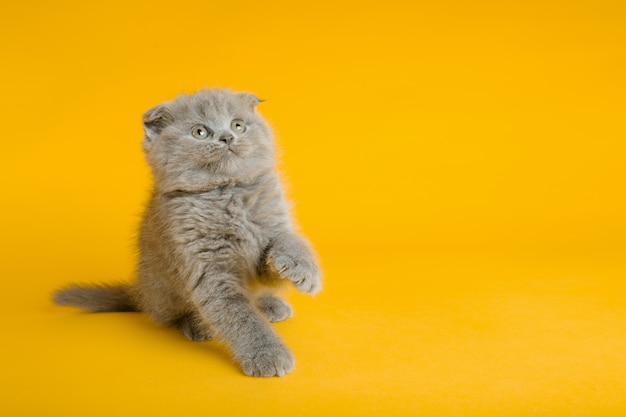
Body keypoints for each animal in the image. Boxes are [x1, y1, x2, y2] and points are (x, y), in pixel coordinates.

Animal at [51, 88, 320, 376]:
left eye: (238, 125)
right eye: (200, 132)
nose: (227, 137)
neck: (228, 192)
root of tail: (140, 294)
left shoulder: (271, 222)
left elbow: (285, 242)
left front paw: (302, 268)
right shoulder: (207, 267)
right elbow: (238, 314)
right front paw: (267, 354)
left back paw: (269, 304)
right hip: (163, 289)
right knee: (172, 316)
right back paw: (196, 325)